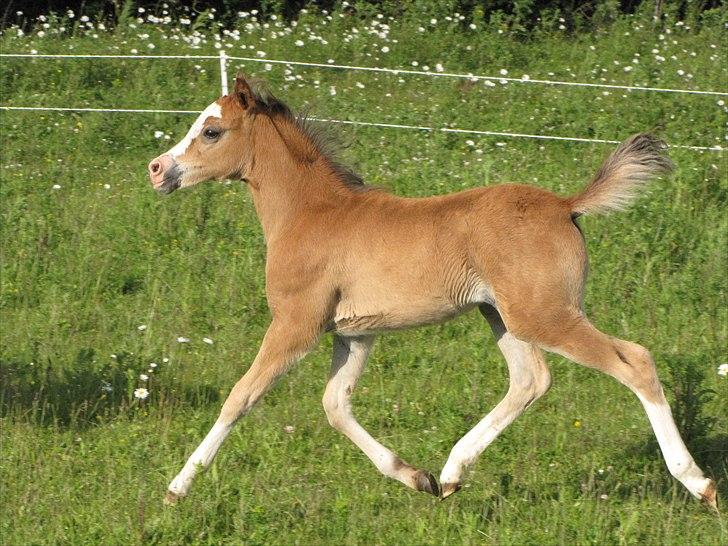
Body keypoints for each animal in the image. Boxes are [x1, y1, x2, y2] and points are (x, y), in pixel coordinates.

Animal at [148, 74, 717, 510]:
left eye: (212, 131)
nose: (157, 169)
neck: (311, 213)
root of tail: (564, 205)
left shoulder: (296, 324)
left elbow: (240, 396)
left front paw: (176, 489)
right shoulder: (354, 334)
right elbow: (335, 405)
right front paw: (414, 476)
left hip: (544, 314)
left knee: (634, 360)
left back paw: (699, 483)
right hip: (500, 315)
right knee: (530, 380)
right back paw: (449, 474)